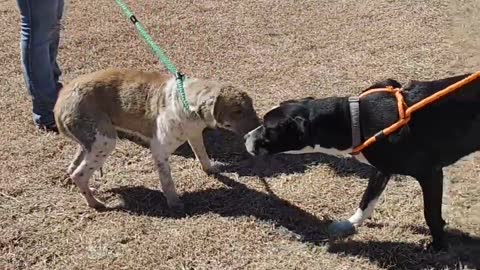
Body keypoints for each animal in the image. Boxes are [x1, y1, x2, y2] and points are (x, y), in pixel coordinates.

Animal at [52, 68, 258, 211]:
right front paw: (174, 203)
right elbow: (167, 180)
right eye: (237, 111)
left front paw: (211, 170)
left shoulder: (194, 135)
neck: (184, 101)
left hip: (89, 143)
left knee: (72, 168)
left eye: (251, 105)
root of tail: (60, 101)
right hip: (104, 141)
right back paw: (95, 203)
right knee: (79, 174)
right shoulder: (159, 150)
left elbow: (203, 156)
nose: (259, 127)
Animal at [244, 73, 480, 250]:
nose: (245, 137)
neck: (352, 120)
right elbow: (367, 200)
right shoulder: (382, 169)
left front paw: (438, 245)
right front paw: (349, 224)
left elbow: (430, 214)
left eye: (267, 128)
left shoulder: (430, 173)